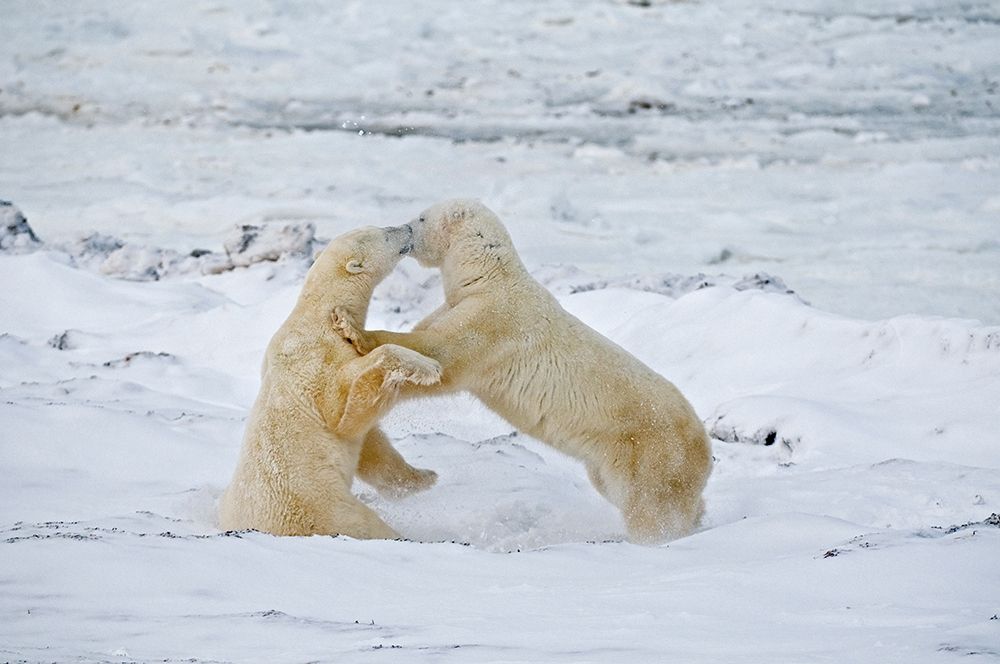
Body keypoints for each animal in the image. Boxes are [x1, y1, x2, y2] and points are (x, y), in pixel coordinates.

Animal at [218, 224, 441, 538]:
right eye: (385, 233)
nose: (407, 228)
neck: (320, 311)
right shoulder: (315, 357)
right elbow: (343, 412)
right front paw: (427, 366)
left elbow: (367, 439)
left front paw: (422, 478)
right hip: (321, 506)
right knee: (364, 524)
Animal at [334, 200, 712, 544]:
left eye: (423, 218)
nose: (407, 230)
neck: (489, 276)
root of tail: (703, 448)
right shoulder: (458, 305)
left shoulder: (493, 320)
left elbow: (442, 357)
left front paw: (353, 329)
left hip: (651, 453)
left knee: (652, 509)